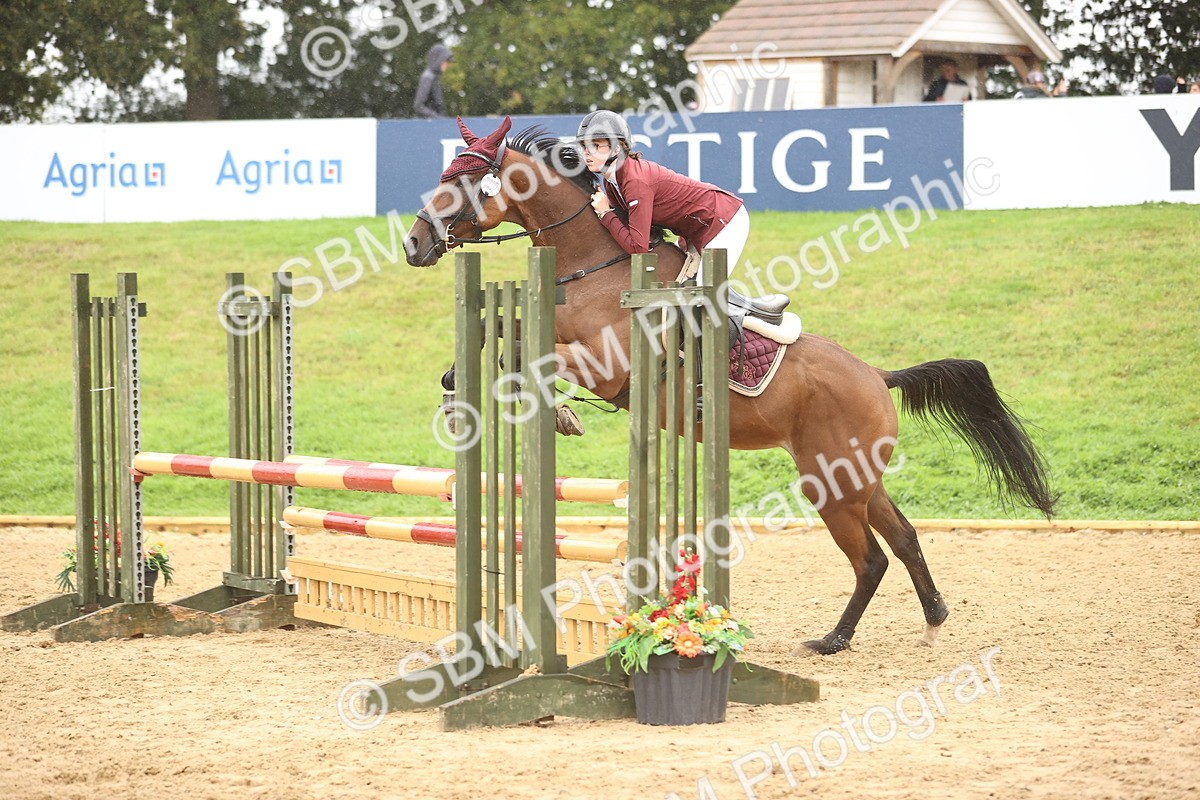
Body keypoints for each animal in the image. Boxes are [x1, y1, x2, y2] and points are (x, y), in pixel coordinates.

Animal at [403, 116, 1056, 655]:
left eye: (465, 179)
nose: (414, 244)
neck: (590, 265)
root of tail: (877, 375)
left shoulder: (609, 367)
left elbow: (533, 359)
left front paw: (558, 413)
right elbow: (497, 335)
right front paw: (456, 393)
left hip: (830, 482)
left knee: (871, 559)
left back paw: (833, 640)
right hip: (859, 478)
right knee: (905, 538)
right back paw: (933, 618)